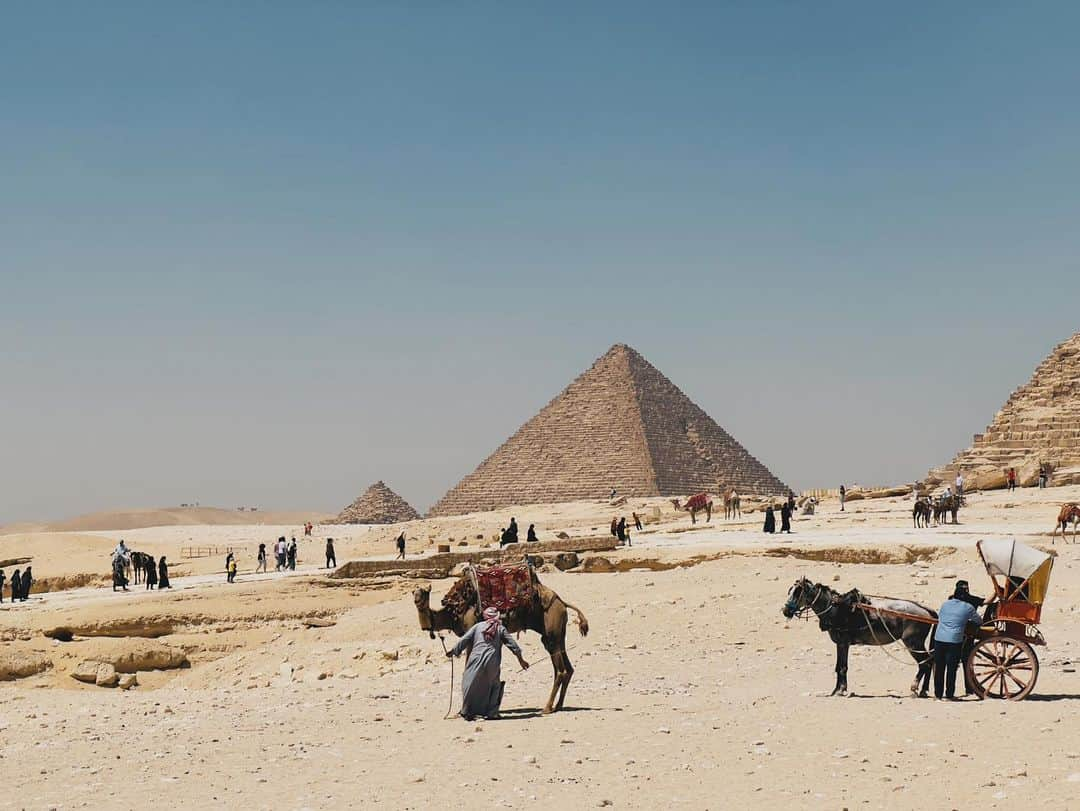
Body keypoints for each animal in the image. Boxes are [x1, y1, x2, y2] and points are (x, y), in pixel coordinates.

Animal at [786, 578, 937, 699]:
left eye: (797, 592)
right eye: (789, 591)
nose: (785, 610)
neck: (835, 608)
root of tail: (925, 610)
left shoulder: (843, 643)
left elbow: (842, 667)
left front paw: (841, 690)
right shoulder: (840, 643)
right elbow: (838, 666)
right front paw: (836, 690)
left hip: (913, 642)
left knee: (925, 663)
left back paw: (914, 688)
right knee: (930, 661)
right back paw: (923, 690)